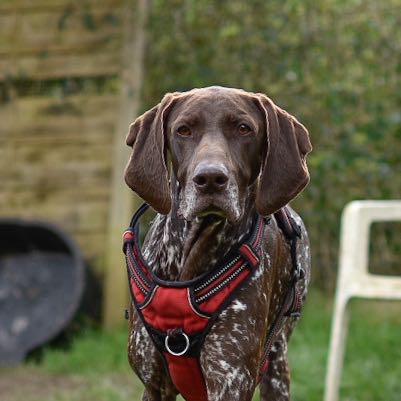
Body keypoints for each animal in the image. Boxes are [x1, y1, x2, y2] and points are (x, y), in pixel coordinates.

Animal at [124, 86, 312, 401]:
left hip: (277, 370)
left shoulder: (230, 379)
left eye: (244, 128)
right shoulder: (155, 385)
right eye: (183, 130)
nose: (211, 178)